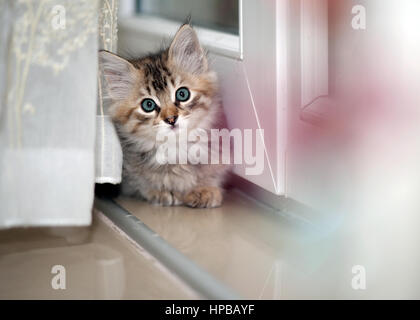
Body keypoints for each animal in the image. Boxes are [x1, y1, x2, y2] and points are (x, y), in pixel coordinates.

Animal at [99, 22, 230, 208]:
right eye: (148, 105)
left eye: (182, 94)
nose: (171, 119)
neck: (177, 148)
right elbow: (140, 183)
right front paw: (160, 191)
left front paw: (204, 189)